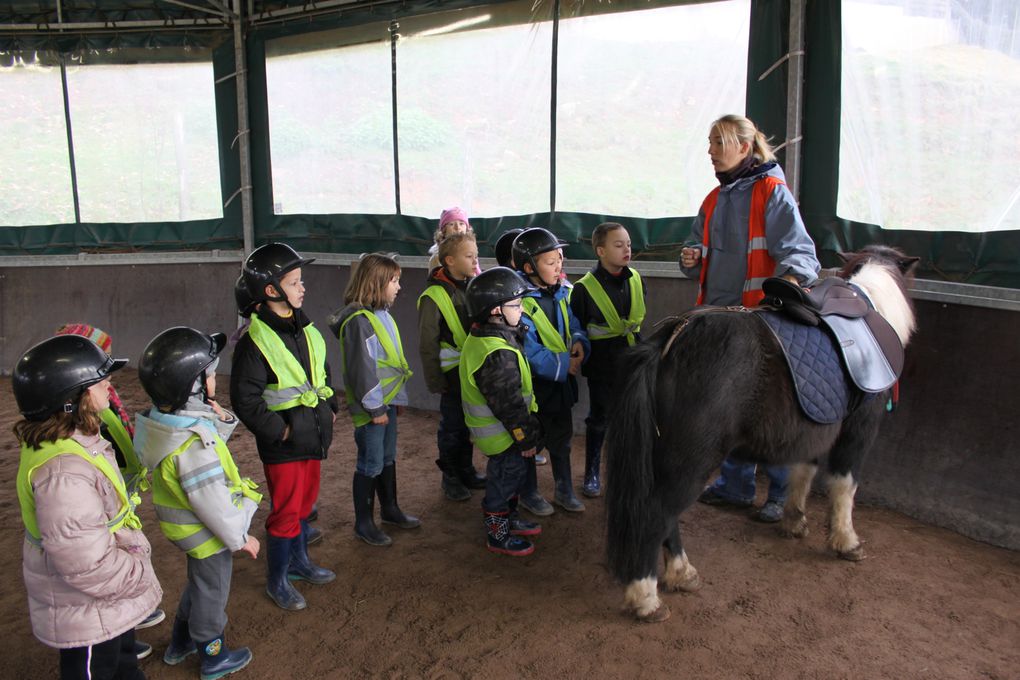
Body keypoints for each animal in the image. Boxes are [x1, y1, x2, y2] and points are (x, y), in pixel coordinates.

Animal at [599, 245, 922, 623]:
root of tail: (674, 336)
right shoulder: (860, 427)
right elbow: (844, 484)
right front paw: (846, 541)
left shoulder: (818, 423)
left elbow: (803, 471)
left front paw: (794, 521)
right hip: (691, 459)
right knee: (656, 514)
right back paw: (646, 598)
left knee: (667, 518)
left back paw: (682, 573)